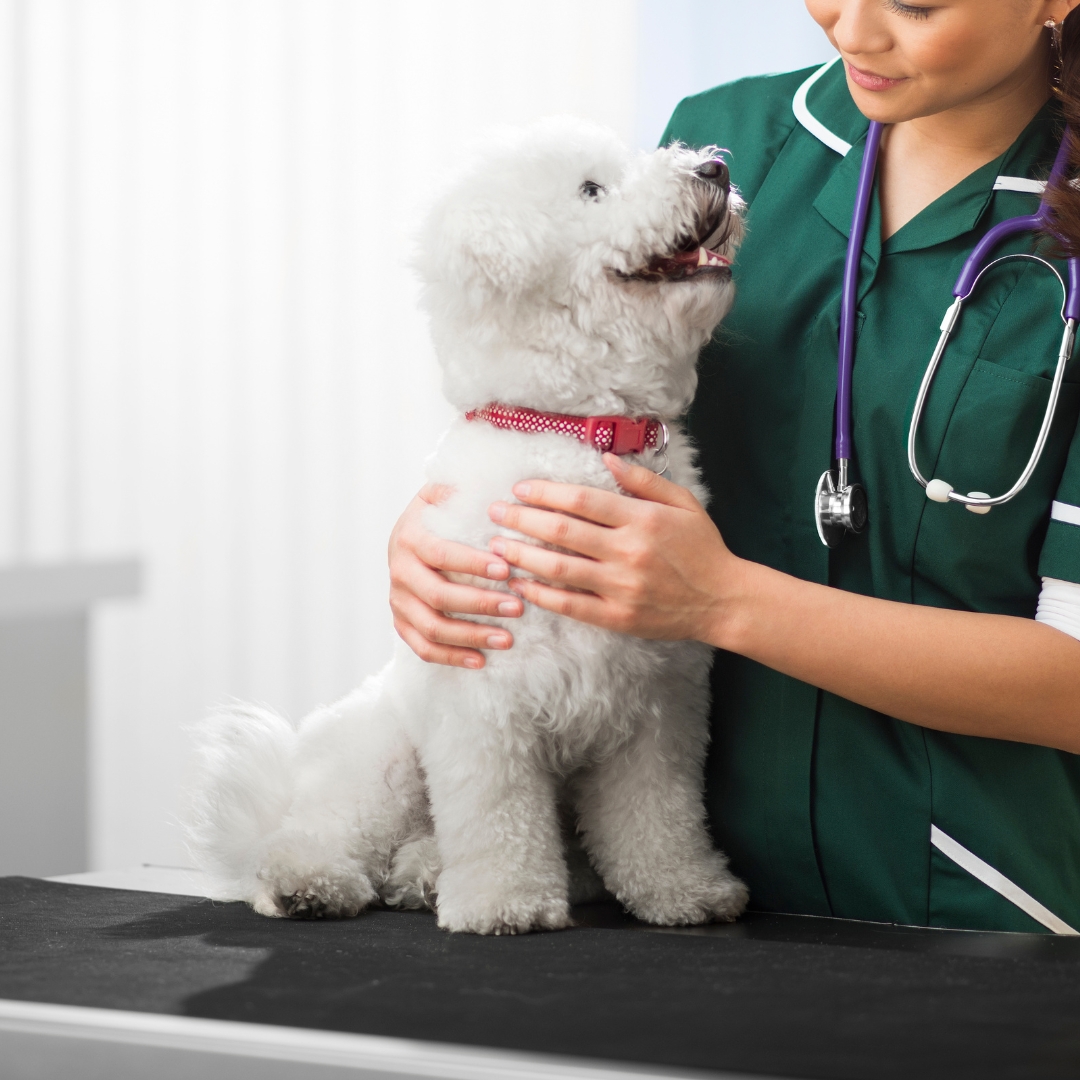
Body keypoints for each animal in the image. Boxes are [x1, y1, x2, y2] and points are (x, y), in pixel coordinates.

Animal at [187, 113, 743, 933]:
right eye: (591, 189)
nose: (715, 169)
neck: (576, 431)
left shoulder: (659, 709)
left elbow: (660, 815)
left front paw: (685, 891)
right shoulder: (485, 703)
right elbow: (497, 817)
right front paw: (503, 903)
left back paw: (423, 876)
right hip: (382, 761)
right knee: (315, 836)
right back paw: (311, 882)